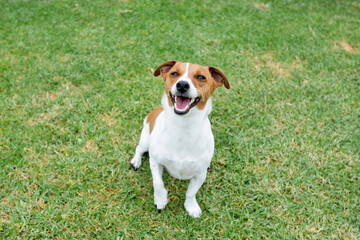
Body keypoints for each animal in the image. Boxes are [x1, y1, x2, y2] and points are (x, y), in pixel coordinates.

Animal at [131, 60, 229, 218]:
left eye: (201, 77)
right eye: (174, 73)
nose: (182, 85)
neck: (183, 126)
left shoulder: (200, 174)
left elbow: (191, 192)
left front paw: (191, 206)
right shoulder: (155, 161)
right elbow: (158, 183)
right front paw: (160, 199)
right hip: (145, 139)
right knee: (139, 148)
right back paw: (136, 161)